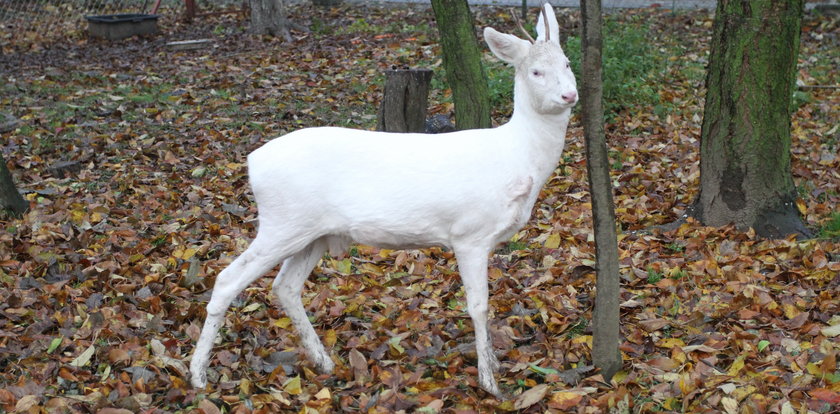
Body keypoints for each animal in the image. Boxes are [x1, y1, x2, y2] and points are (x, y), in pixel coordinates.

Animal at [187, 4, 576, 398]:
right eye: (536, 71)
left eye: (567, 62)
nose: (569, 96)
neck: (517, 156)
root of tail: (252, 162)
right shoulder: (469, 233)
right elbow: (479, 306)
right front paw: (490, 382)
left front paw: (494, 366)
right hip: (283, 222)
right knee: (227, 279)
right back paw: (198, 375)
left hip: (312, 232)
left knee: (286, 286)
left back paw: (324, 362)